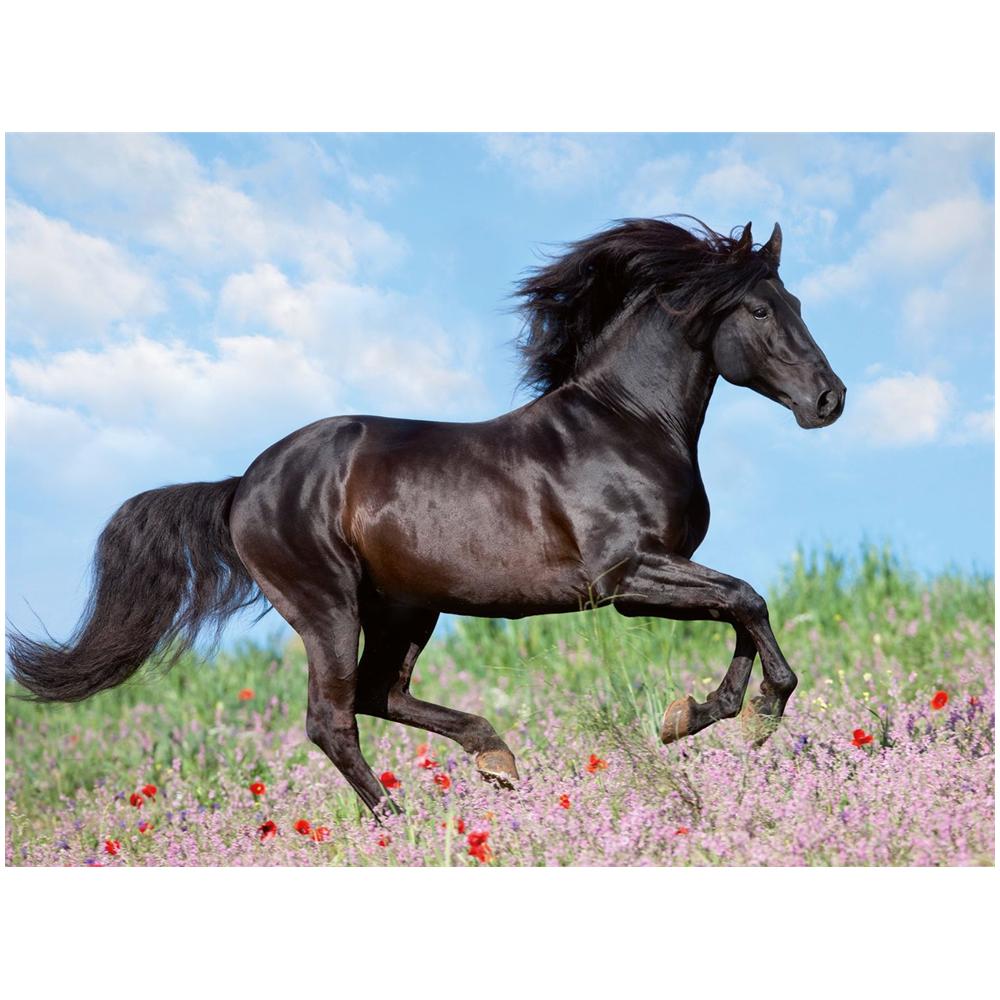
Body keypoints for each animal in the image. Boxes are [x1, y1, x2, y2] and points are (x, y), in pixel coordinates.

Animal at [8, 217, 846, 816]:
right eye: (761, 308)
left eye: (798, 304)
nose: (829, 399)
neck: (626, 422)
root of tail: (242, 485)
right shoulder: (626, 579)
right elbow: (747, 600)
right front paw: (756, 713)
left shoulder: (657, 575)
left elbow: (739, 610)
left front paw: (698, 714)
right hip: (328, 606)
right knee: (333, 718)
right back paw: (397, 822)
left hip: (407, 607)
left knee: (380, 694)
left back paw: (495, 758)